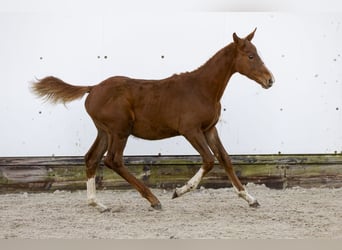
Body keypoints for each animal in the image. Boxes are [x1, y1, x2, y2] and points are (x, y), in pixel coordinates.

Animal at [32, 28, 276, 210]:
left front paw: (250, 198)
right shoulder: (190, 130)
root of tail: (92, 89)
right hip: (120, 130)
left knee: (92, 158)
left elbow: (225, 159)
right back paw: (153, 199)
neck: (202, 89)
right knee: (113, 160)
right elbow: (209, 160)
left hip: (105, 131)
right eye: (251, 56)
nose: (270, 80)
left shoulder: (209, 129)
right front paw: (179, 191)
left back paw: (97, 204)